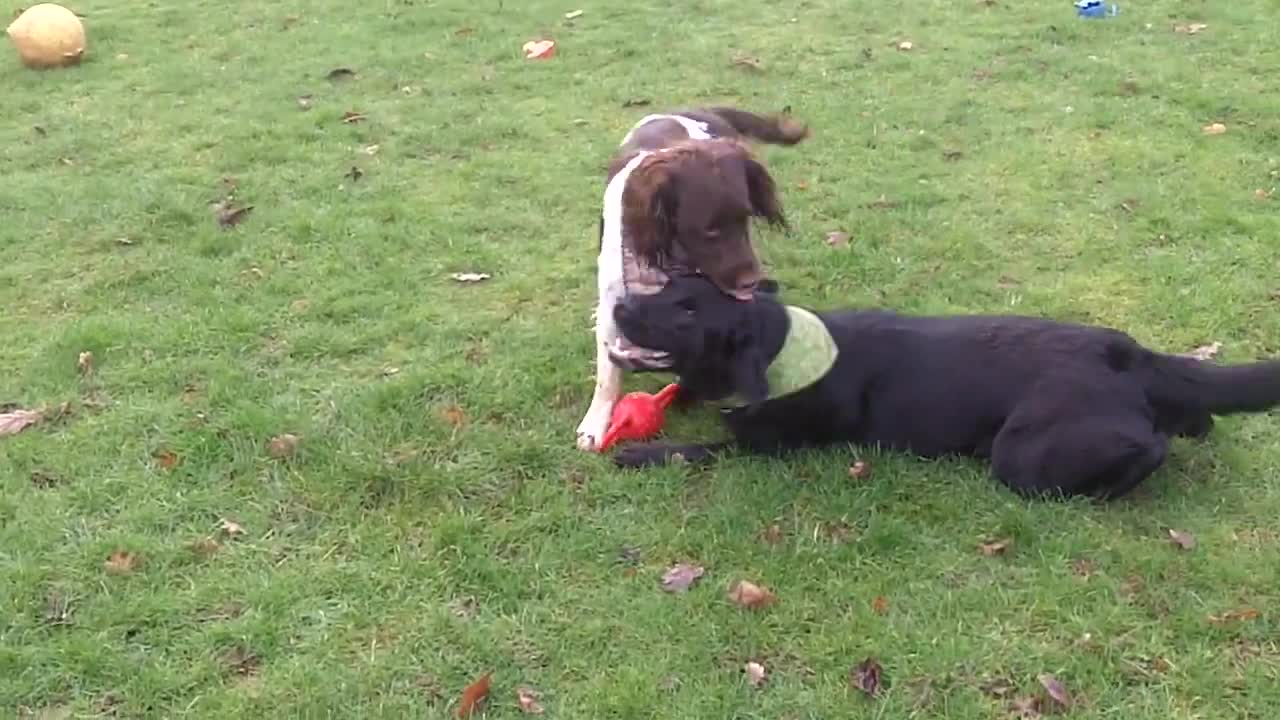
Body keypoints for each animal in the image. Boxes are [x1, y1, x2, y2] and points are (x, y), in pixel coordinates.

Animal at [576, 106, 803, 448]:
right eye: (709, 230)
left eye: (745, 218)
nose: (751, 283)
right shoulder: (612, 299)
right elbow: (607, 372)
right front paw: (595, 425)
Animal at [611, 271, 1280, 497]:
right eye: (668, 285)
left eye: (689, 311)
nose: (618, 305)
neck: (776, 345)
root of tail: (1128, 353)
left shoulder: (770, 446)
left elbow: (699, 448)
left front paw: (640, 454)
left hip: (1024, 455)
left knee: (1151, 447)